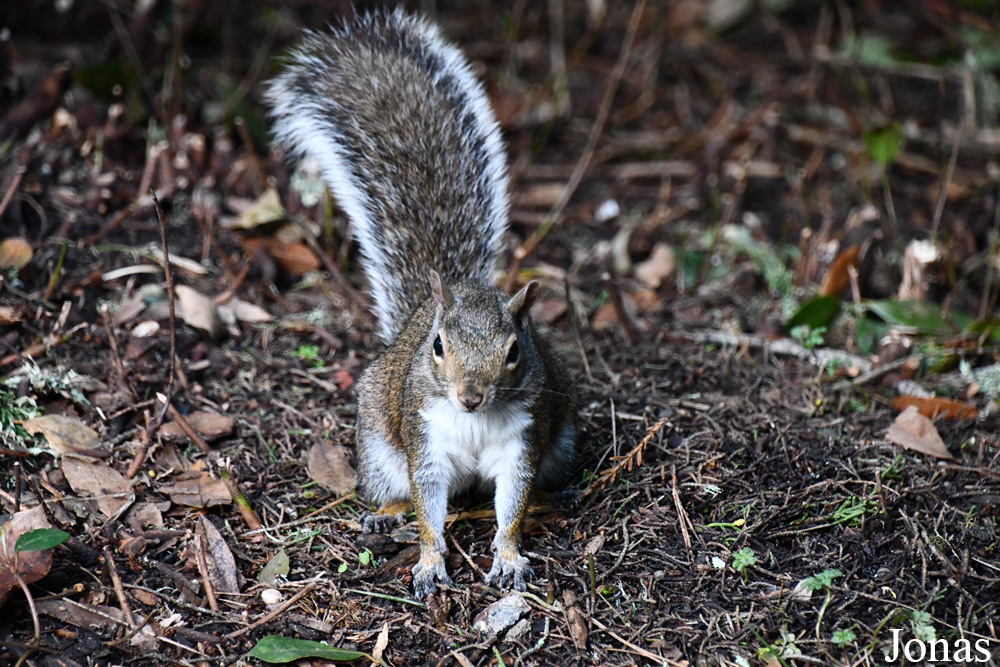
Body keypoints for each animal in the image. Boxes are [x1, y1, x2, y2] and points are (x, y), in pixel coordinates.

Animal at [266, 7, 580, 596]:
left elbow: (513, 503)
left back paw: (563, 493)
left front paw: (508, 557)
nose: (470, 397)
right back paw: (383, 514)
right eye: (438, 346)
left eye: (514, 352)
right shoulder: (424, 441)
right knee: (398, 492)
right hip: (380, 446)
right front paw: (432, 562)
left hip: (562, 437)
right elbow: (428, 504)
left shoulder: (524, 442)